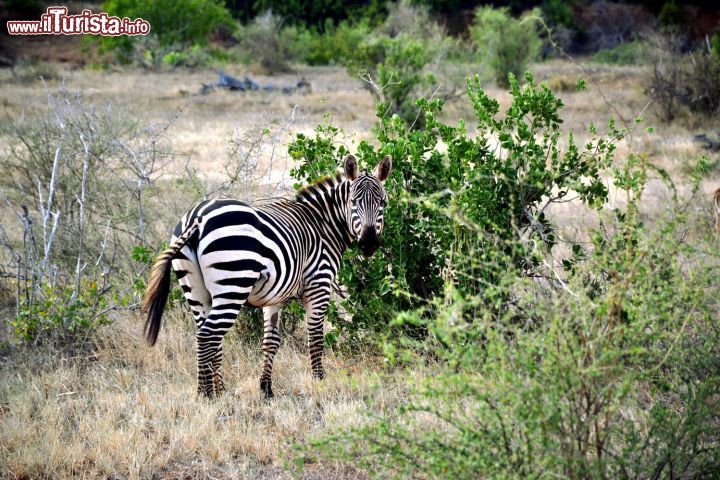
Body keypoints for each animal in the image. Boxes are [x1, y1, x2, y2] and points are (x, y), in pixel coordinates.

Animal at [139, 154, 388, 398]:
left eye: (382, 203)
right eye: (353, 202)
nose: (368, 243)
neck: (322, 225)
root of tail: (197, 218)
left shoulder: (274, 298)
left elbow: (271, 342)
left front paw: (266, 389)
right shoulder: (319, 284)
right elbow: (316, 336)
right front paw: (319, 383)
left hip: (196, 290)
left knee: (207, 335)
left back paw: (218, 391)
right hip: (232, 285)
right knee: (209, 335)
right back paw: (205, 395)